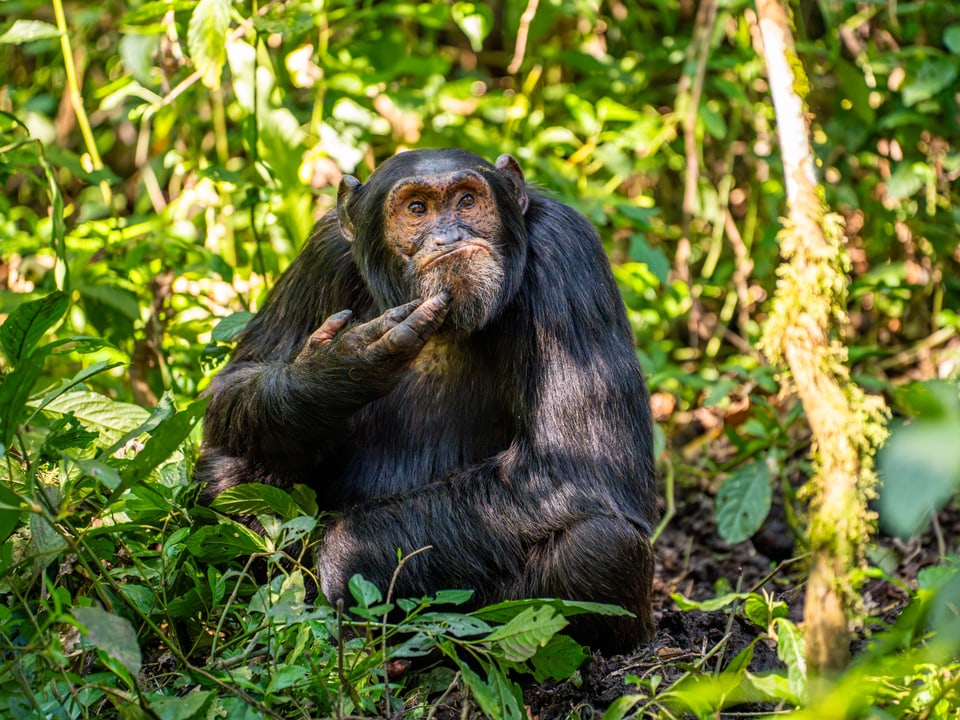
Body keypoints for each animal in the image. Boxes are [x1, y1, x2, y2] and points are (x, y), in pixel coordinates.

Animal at [195, 148, 660, 652]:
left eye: (467, 200)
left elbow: (577, 463)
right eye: (417, 209)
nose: (449, 235)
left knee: (600, 545)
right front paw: (334, 370)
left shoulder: (567, 250)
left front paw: (346, 558)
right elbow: (234, 380)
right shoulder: (322, 252)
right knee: (230, 468)